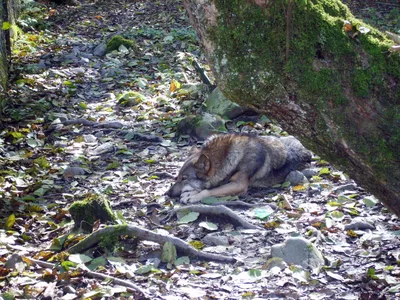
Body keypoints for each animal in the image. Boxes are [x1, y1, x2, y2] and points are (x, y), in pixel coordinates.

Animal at [167, 134, 310, 204]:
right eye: (178, 177)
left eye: (184, 178)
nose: (167, 193)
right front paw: (190, 193)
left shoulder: (239, 185)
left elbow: (209, 191)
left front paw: (192, 196)